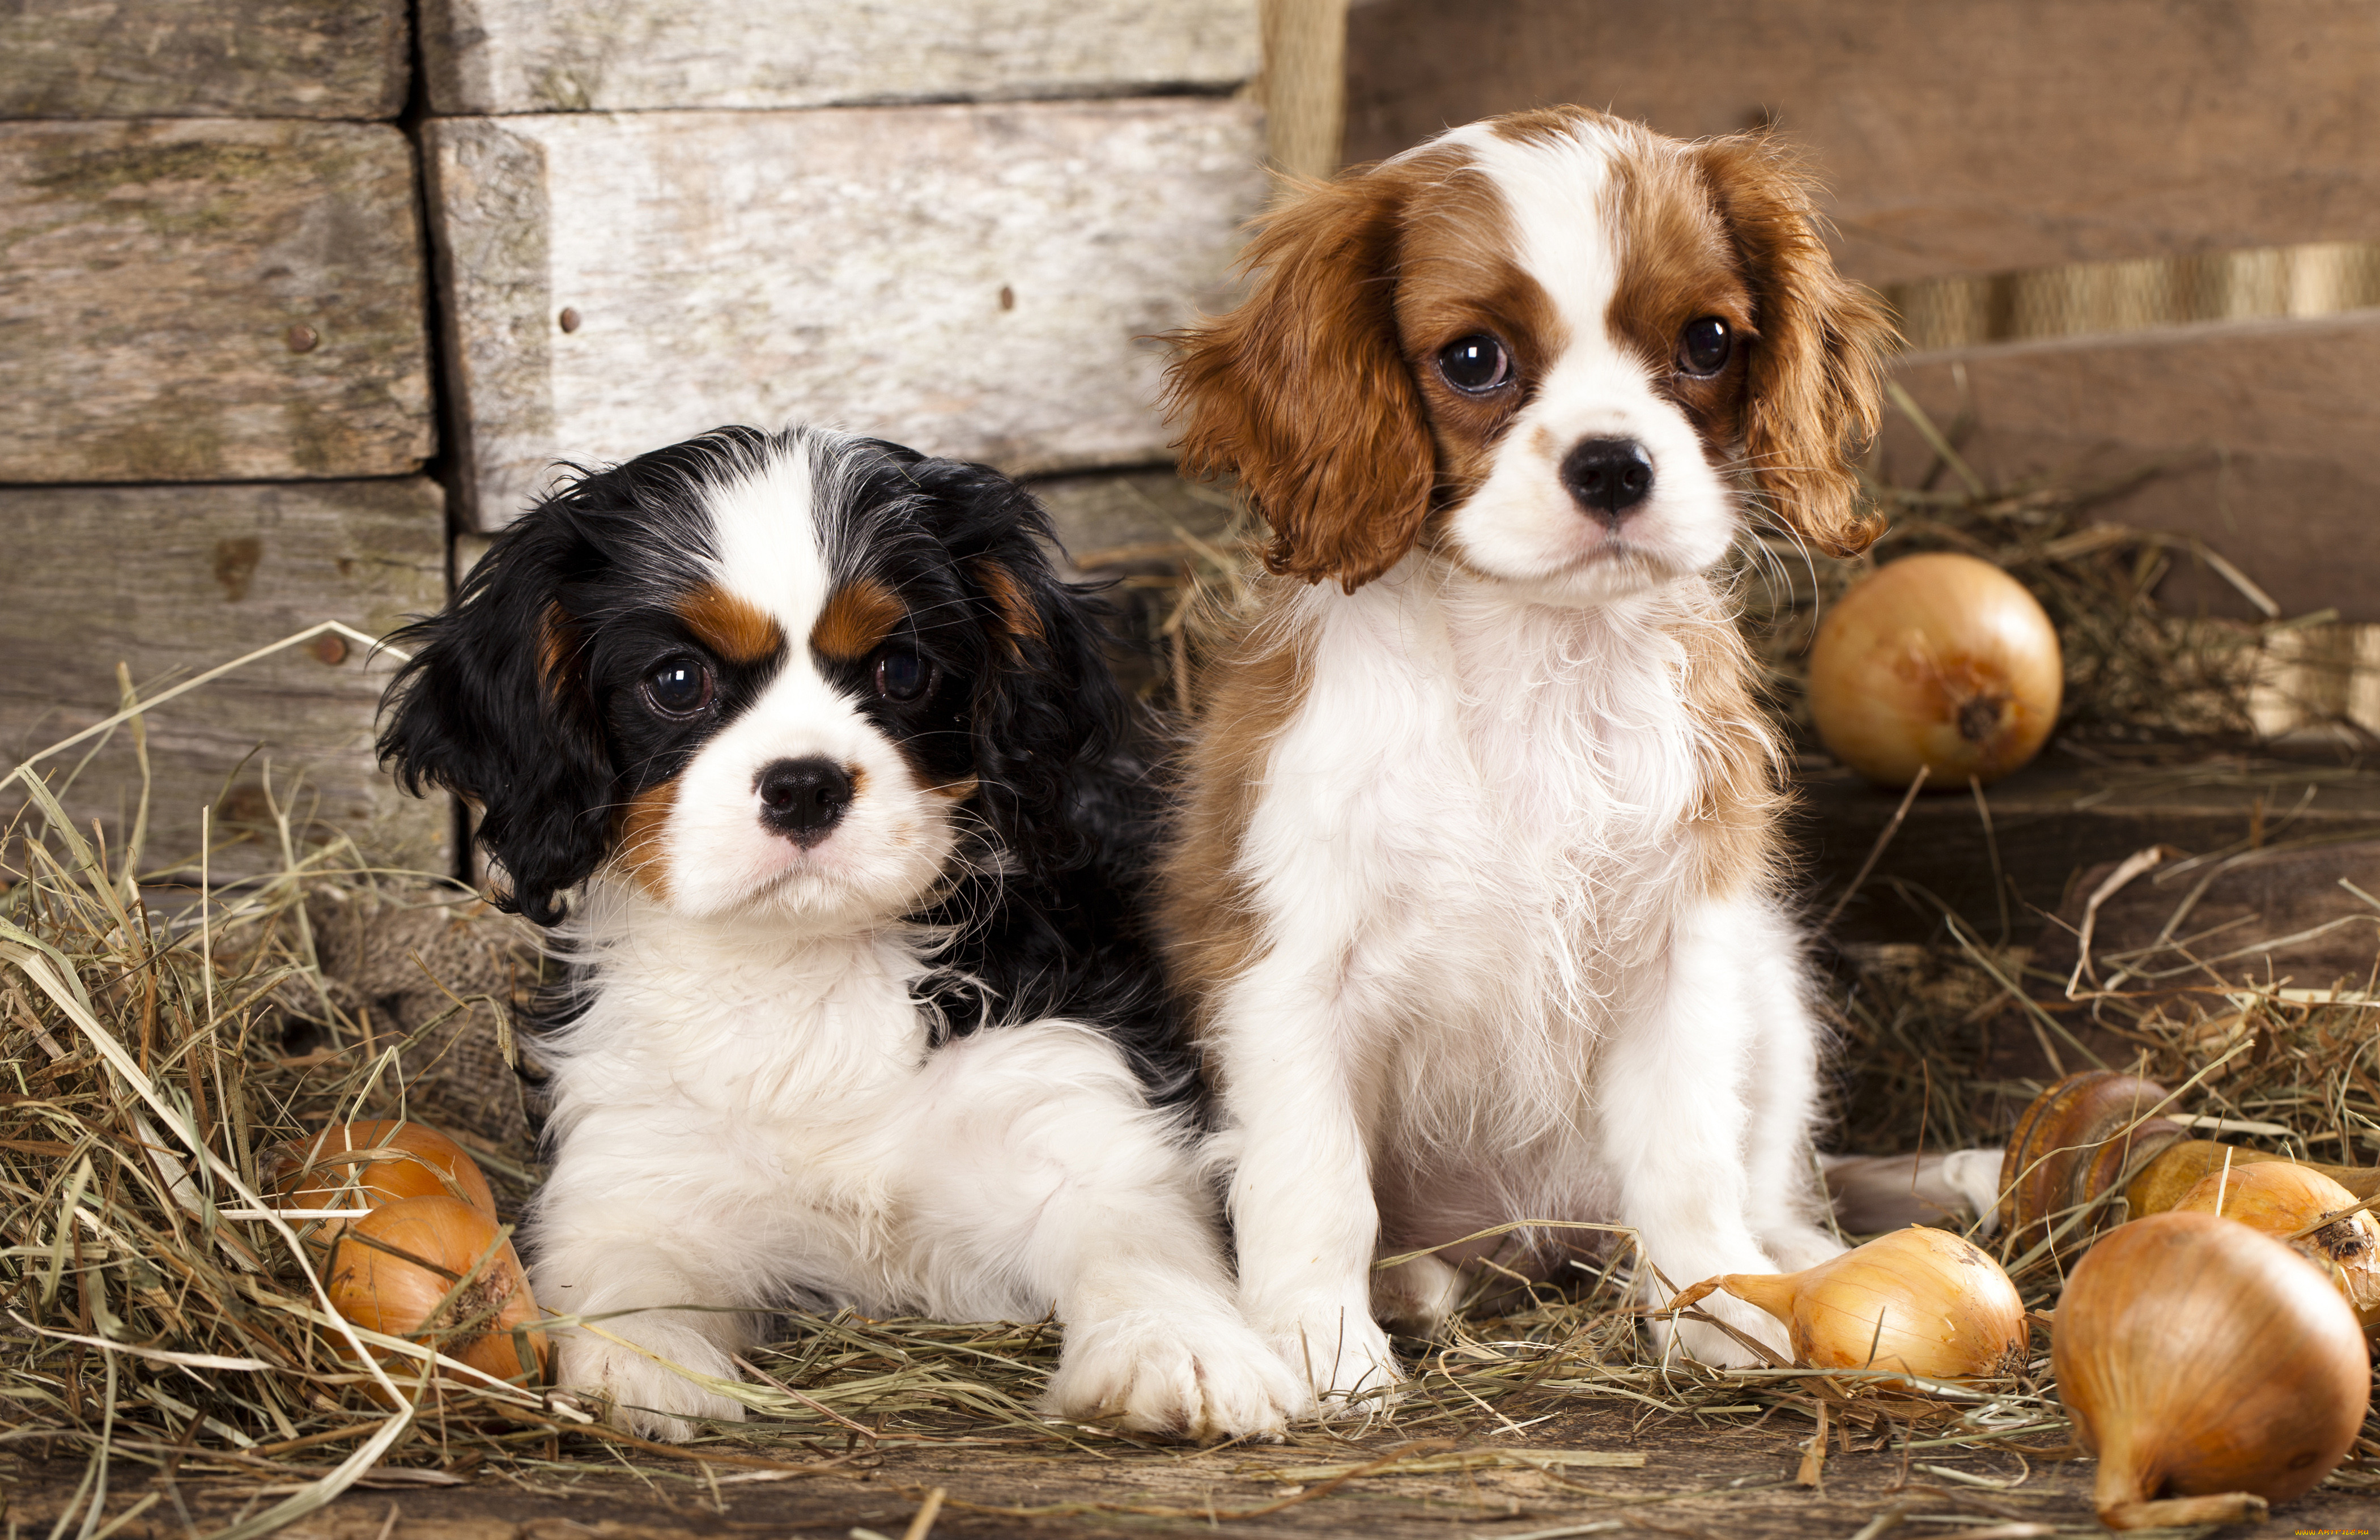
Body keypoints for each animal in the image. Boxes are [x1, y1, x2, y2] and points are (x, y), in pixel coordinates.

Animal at [383, 423, 1304, 1447]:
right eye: (677, 681)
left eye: (902, 671)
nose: (804, 784)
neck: (808, 963)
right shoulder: (637, 1171)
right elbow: (626, 1272)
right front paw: (647, 1366)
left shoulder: (1076, 1107)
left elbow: (1138, 1245)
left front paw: (1177, 1346)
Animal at [1157, 105, 1894, 1409]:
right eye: (1471, 360)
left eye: (1708, 341)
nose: (1615, 464)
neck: (1535, 654)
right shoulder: (1289, 968)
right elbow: (1312, 1182)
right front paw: (1319, 1343)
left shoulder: (1683, 950)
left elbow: (1689, 1155)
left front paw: (1716, 1308)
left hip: (1774, 992)